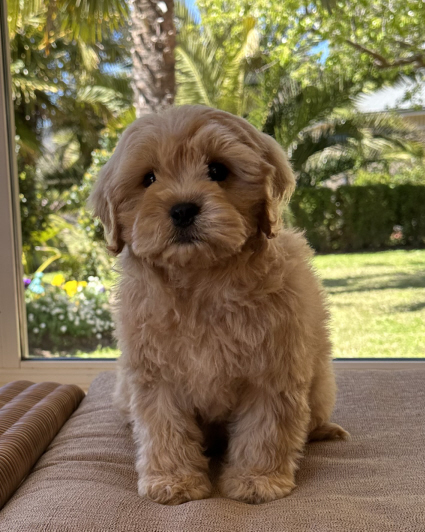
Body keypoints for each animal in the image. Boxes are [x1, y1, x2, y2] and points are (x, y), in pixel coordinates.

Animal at [89, 105, 348, 505]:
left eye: (217, 171)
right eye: (148, 178)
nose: (182, 209)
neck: (201, 282)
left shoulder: (274, 367)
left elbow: (266, 426)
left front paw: (257, 479)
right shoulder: (154, 373)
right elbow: (164, 426)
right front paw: (173, 480)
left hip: (320, 386)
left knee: (313, 413)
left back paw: (322, 430)